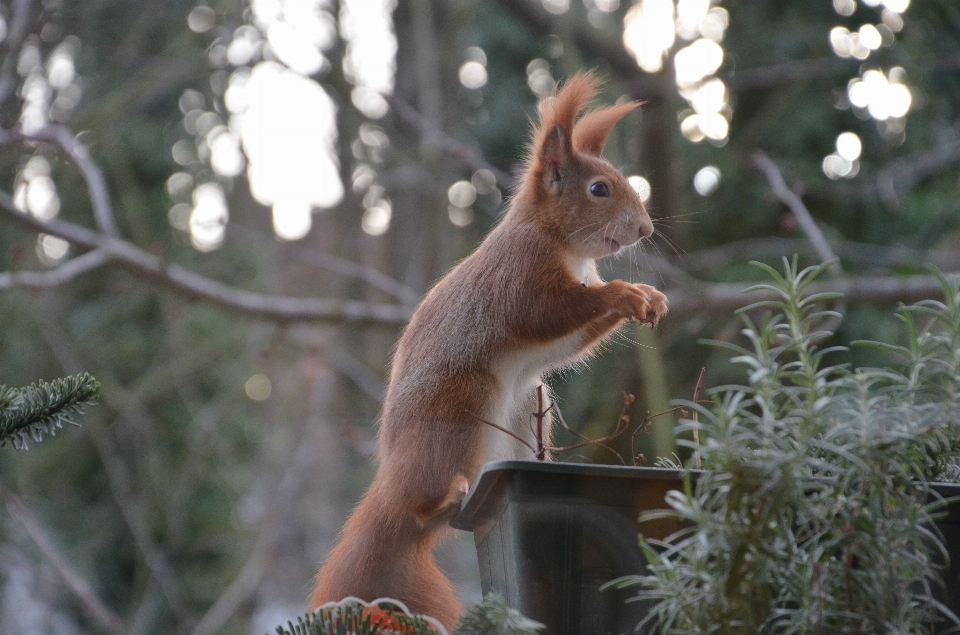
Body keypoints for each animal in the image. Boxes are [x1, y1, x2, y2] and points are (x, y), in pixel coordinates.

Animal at [308, 72, 668, 628]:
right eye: (599, 188)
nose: (646, 229)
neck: (557, 241)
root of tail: (391, 490)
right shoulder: (521, 280)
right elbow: (550, 313)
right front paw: (624, 293)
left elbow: (574, 338)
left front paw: (650, 297)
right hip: (461, 408)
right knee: (425, 502)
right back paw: (442, 500)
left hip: (528, 410)